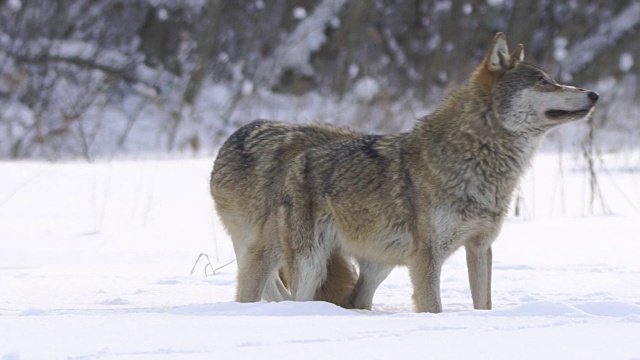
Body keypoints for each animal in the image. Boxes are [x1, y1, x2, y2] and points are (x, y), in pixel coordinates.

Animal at [278, 33, 596, 312]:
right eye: (544, 82)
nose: (594, 93)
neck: (478, 160)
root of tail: (297, 162)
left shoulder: (480, 247)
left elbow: (484, 304)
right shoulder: (426, 258)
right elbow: (433, 307)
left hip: (382, 264)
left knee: (356, 299)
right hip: (311, 266)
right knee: (299, 301)